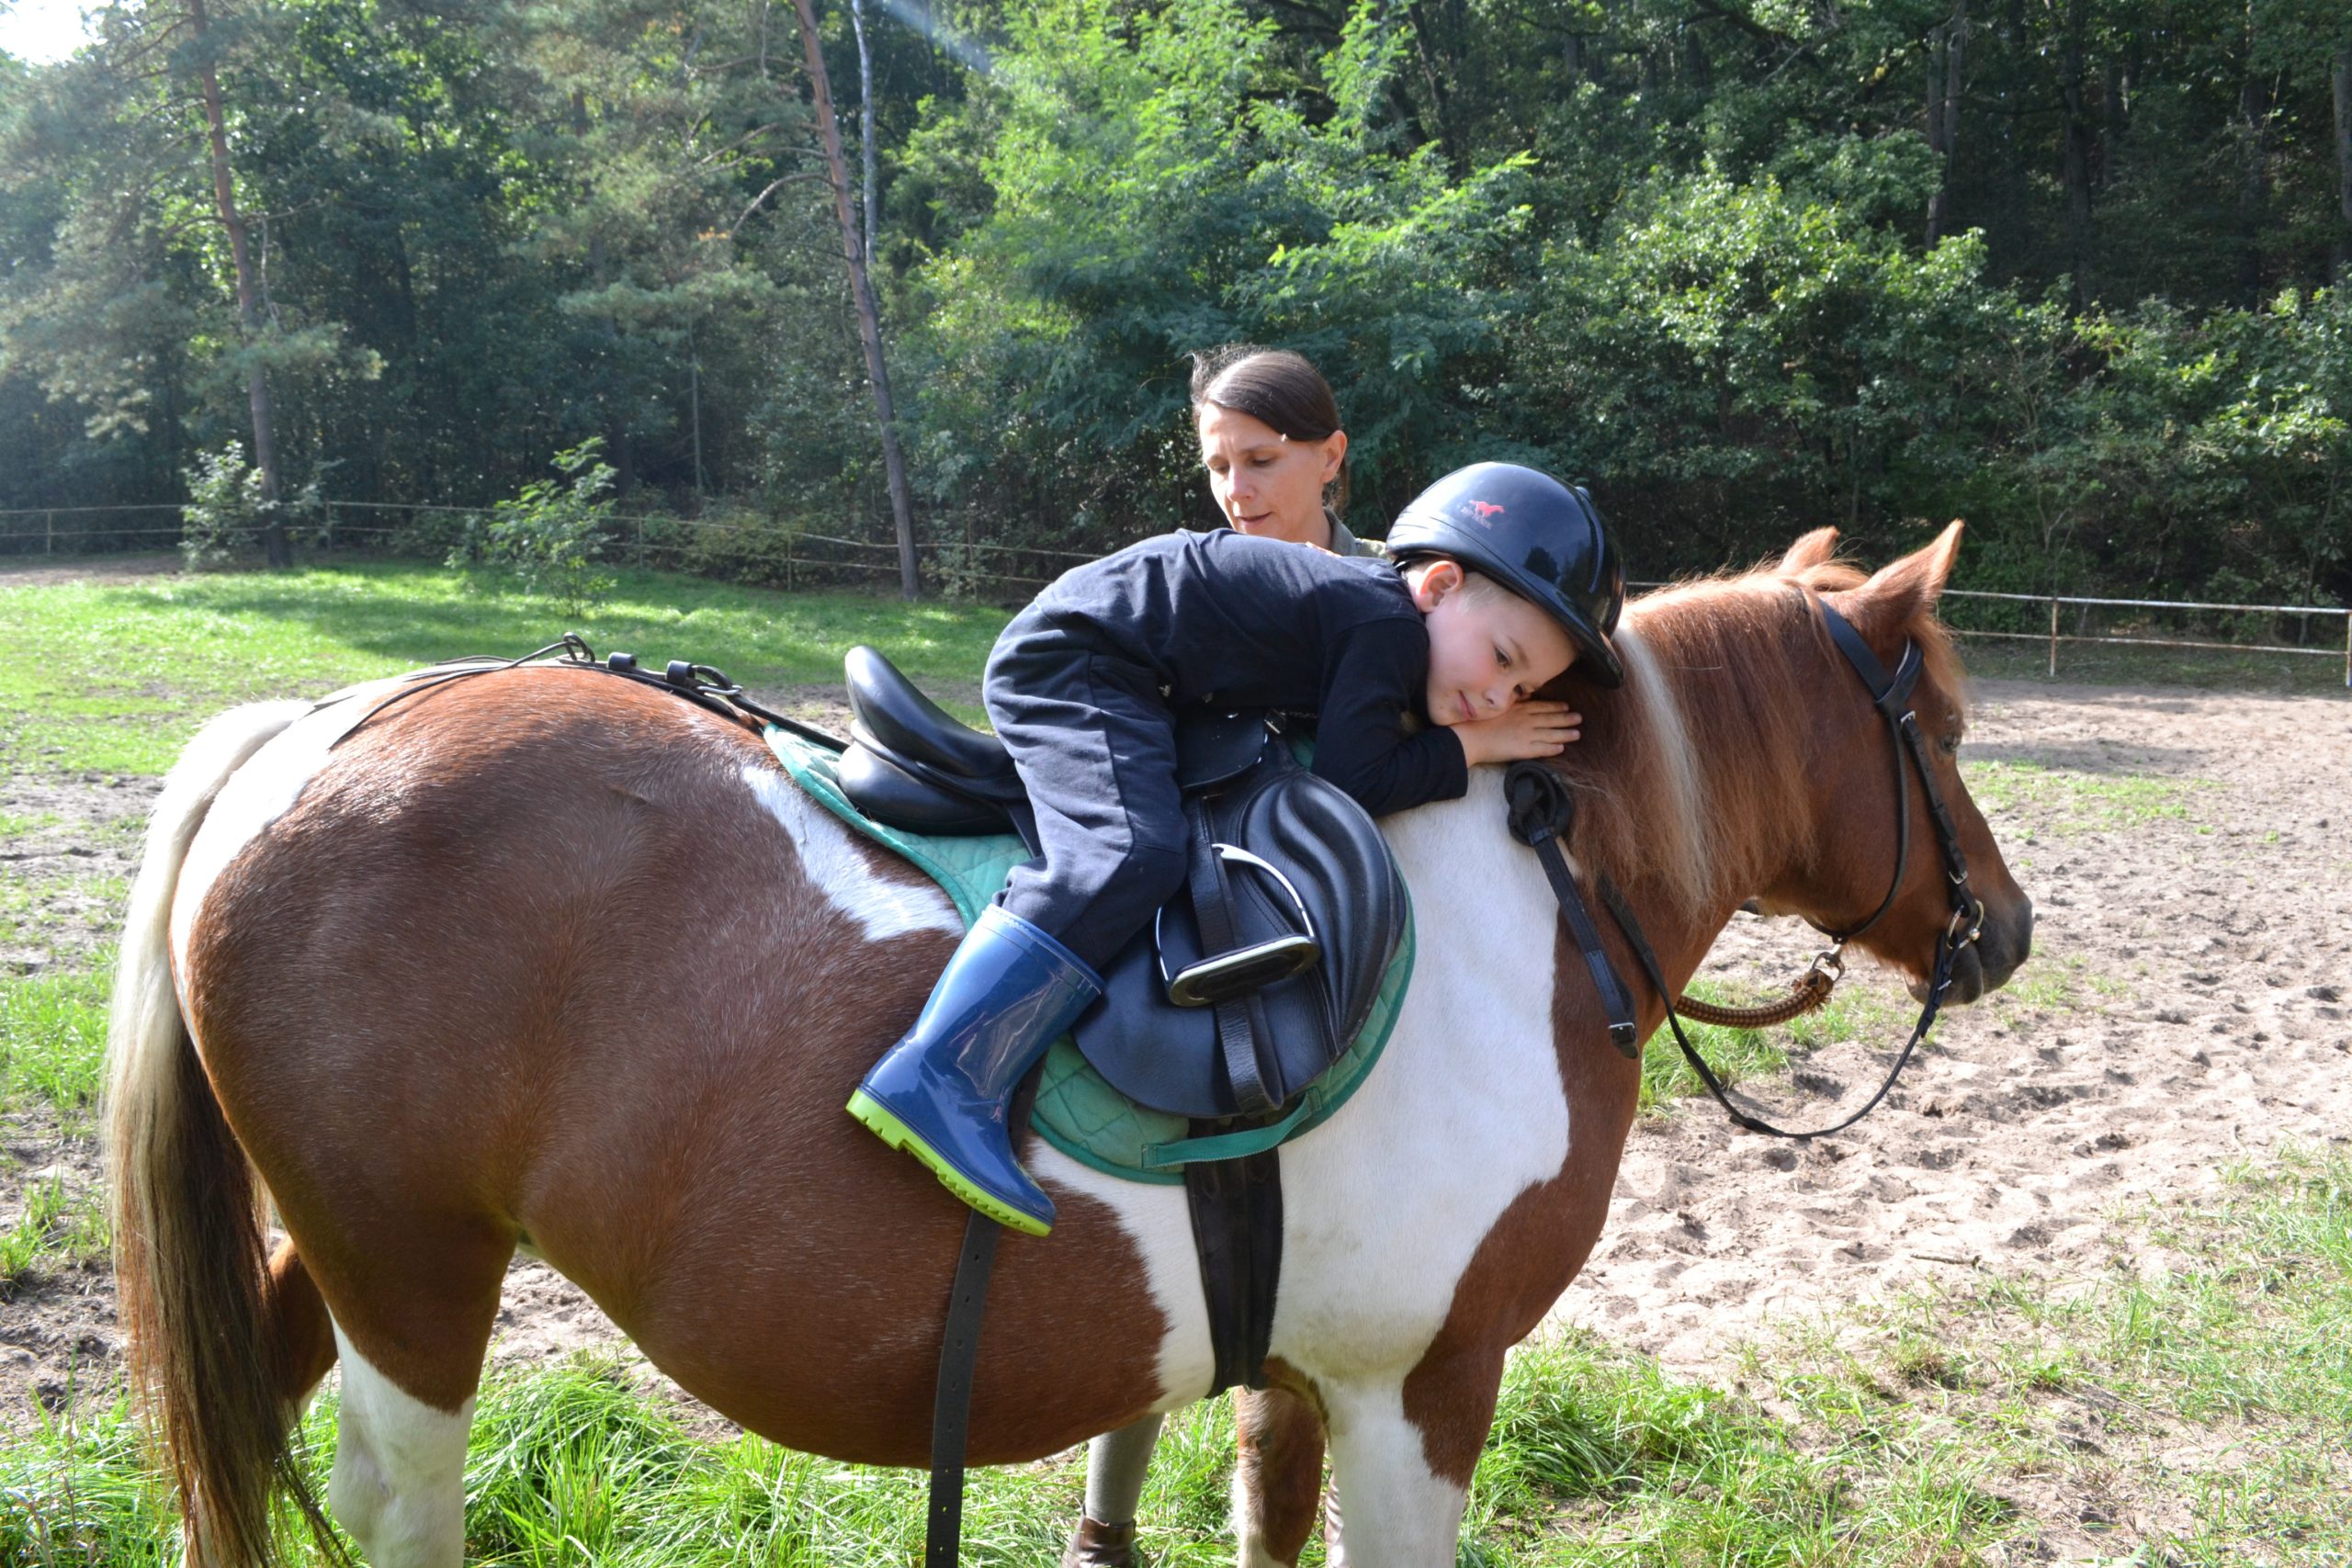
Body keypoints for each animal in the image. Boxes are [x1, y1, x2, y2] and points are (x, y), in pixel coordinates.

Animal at [106, 523, 2030, 1567]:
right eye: (1935, 722)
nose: (2001, 929)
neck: (1535, 895)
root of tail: (325, 726)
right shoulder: (1424, 1378)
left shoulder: (1297, 1372)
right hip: (415, 1274)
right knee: (393, 1496)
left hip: (348, 1248)